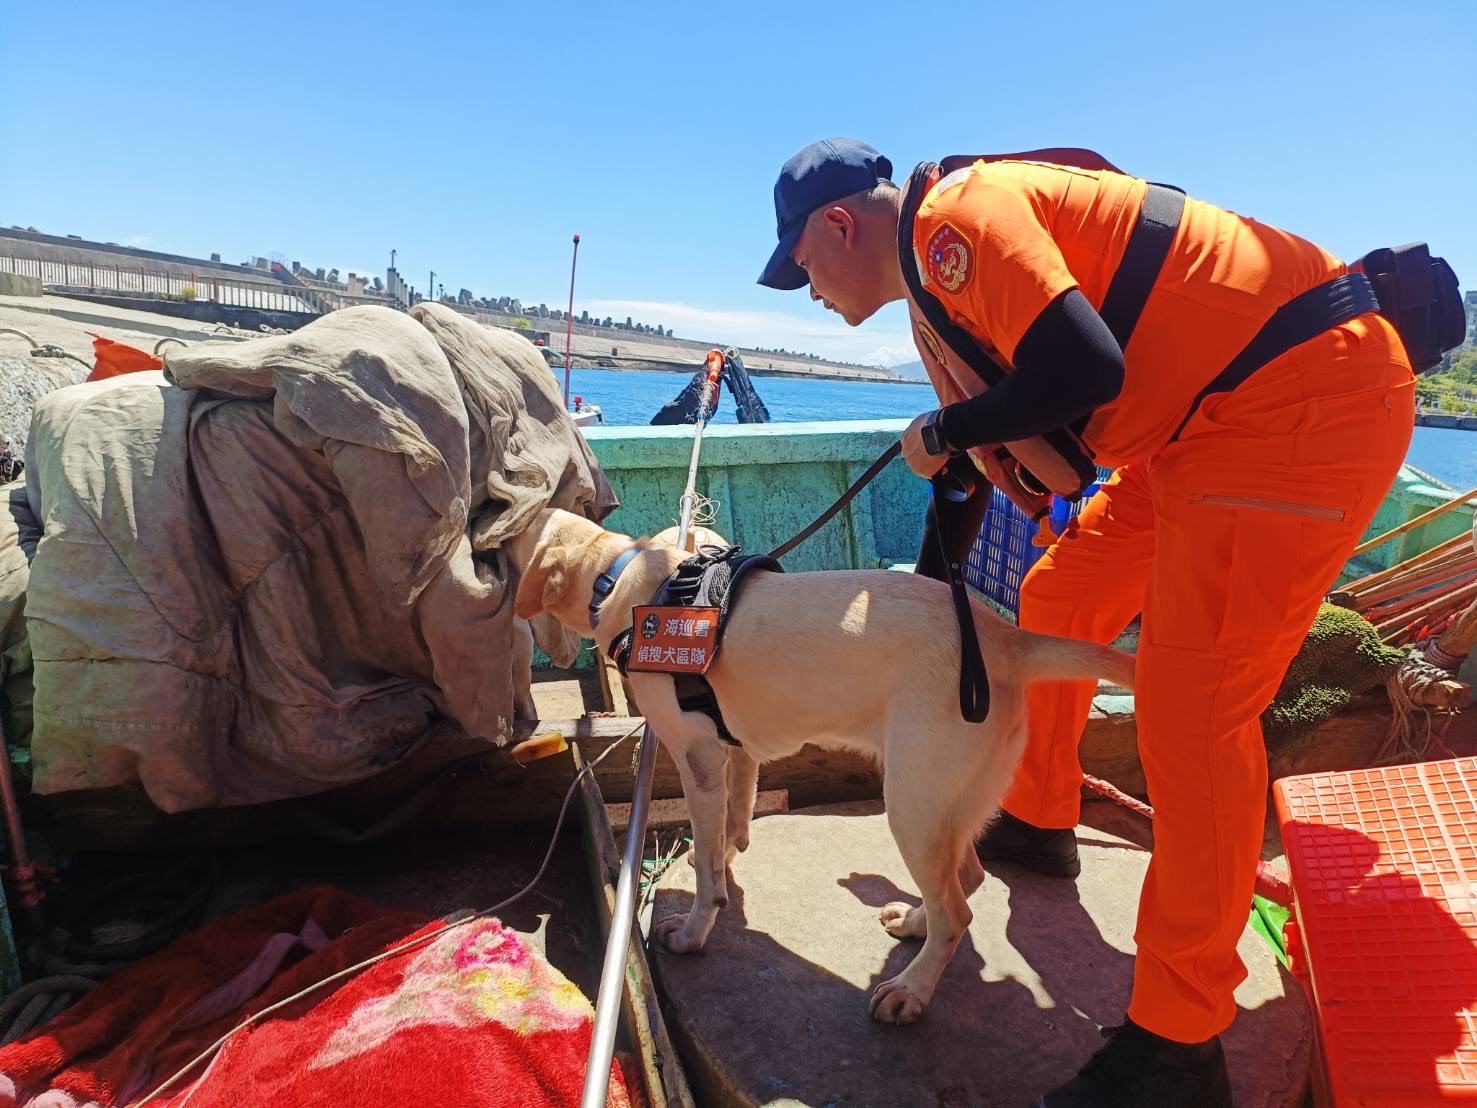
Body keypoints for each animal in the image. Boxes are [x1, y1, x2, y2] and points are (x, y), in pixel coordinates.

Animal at [508, 511, 1128, 1022]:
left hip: (913, 804)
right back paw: (914, 925)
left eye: (507, 538)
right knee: (965, 880)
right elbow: (732, 825)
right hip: (945, 805)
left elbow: (704, 862)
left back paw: (911, 991)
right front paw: (729, 866)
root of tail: (1006, 639)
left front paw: (694, 930)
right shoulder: (734, 749)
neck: (622, 573)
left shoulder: (696, 756)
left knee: (957, 914)